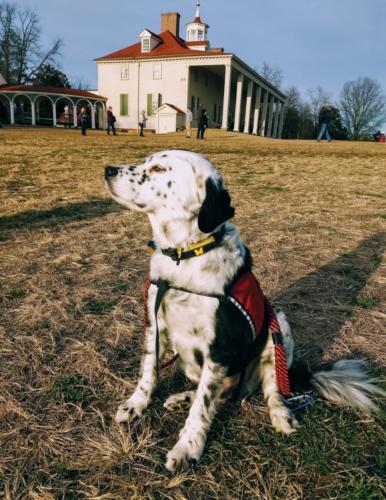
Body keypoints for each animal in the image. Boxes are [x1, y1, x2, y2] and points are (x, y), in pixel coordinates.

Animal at [105, 149, 382, 472]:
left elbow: (202, 407)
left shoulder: (219, 348)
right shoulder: (154, 326)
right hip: (190, 361)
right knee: (222, 393)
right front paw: (135, 405)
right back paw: (182, 398)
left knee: (269, 390)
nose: (107, 169)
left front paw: (188, 447)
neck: (185, 257)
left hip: (277, 330)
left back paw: (281, 415)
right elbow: (149, 373)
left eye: (159, 169)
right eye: (145, 162)